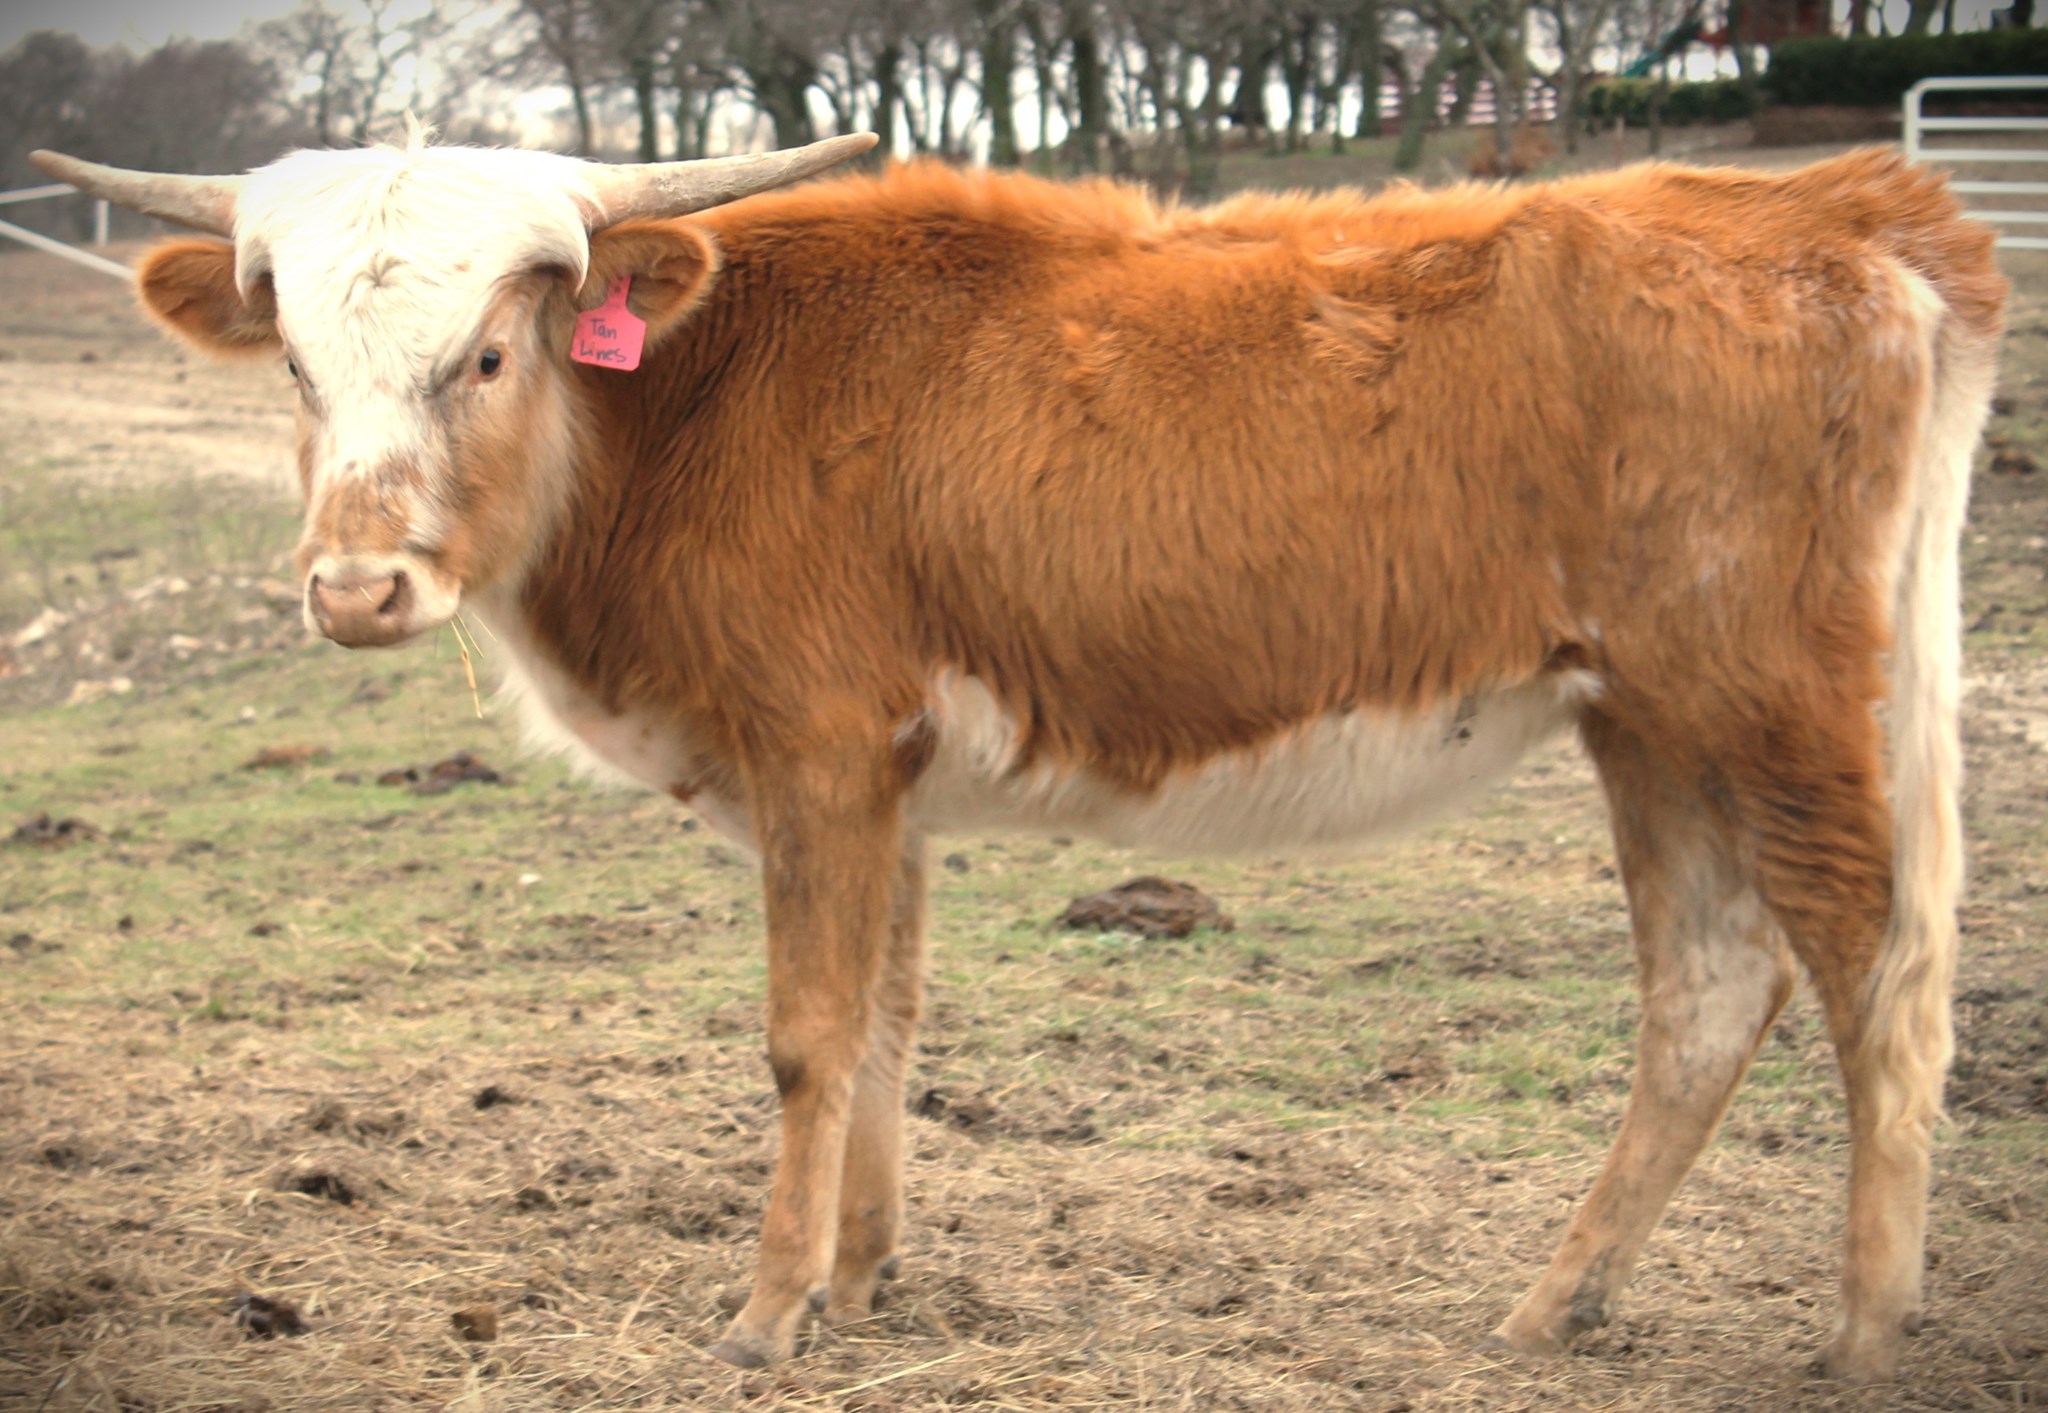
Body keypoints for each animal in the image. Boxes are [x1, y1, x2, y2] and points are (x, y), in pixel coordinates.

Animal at [31, 134, 2003, 1382]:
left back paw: (1864, 1326)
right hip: (1646, 721)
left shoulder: (818, 754)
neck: (694, 388)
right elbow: (887, 1025)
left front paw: (765, 1312)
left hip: (1768, 702)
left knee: (1874, 973)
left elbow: (807, 1035)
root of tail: (1842, 207)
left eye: (492, 351)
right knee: (1707, 989)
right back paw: (1553, 1306)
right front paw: (863, 1275)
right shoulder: (887, 779)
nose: (359, 584)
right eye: (296, 365)